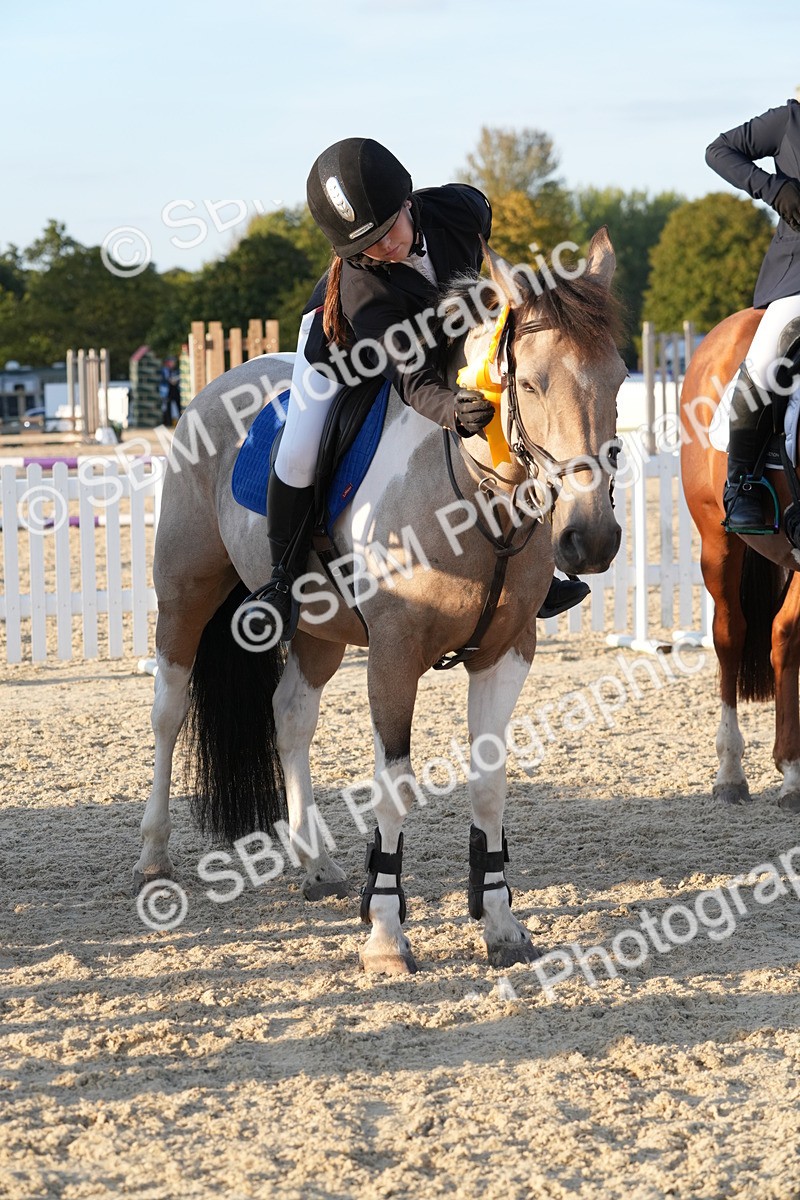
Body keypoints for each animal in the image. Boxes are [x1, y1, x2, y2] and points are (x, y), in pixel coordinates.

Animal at [135, 229, 627, 975]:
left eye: (622, 377)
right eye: (530, 383)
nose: (591, 539)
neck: (473, 498)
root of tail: (219, 382)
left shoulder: (507, 653)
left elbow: (489, 783)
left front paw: (500, 923)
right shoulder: (394, 658)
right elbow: (394, 786)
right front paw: (388, 935)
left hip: (319, 629)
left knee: (291, 716)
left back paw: (315, 864)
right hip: (184, 594)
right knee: (168, 710)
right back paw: (154, 855)